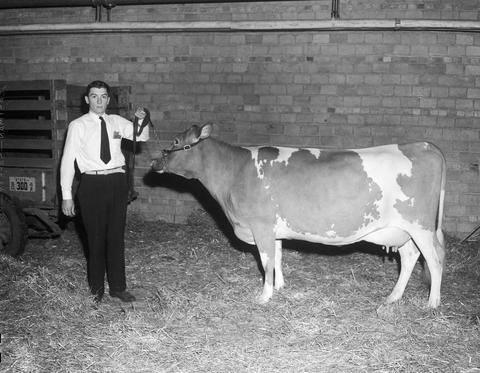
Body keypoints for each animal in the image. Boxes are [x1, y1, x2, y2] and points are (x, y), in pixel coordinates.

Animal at [151, 123, 446, 306]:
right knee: (410, 257)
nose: (155, 161)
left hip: (420, 226)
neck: (234, 172)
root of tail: (425, 145)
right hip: (402, 230)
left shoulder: (261, 225)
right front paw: (280, 287)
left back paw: (432, 303)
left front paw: (265, 295)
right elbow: (278, 257)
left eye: (175, 141)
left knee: (435, 259)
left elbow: (266, 261)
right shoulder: (274, 228)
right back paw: (393, 297)